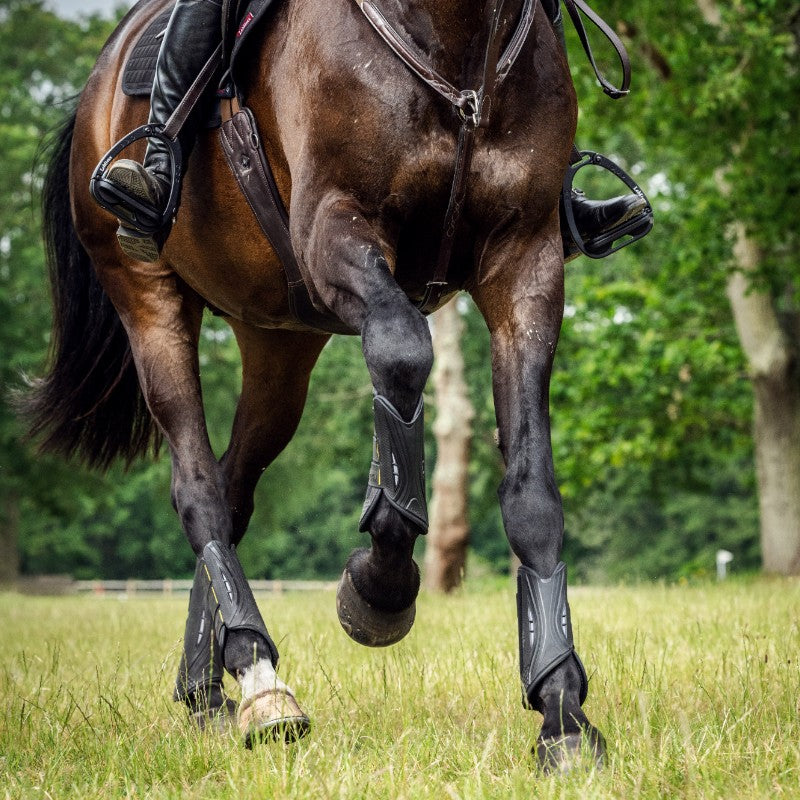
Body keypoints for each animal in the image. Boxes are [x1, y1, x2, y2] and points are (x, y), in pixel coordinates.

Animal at [29, 0, 608, 772]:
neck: (455, 43)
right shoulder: (336, 228)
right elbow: (401, 353)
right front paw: (380, 589)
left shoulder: (526, 261)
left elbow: (532, 492)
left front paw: (561, 711)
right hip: (149, 297)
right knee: (199, 490)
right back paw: (260, 678)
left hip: (280, 340)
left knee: (233, 487)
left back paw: (210, 690)